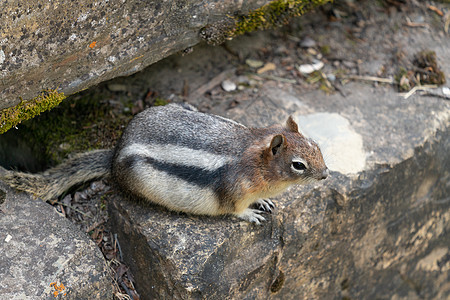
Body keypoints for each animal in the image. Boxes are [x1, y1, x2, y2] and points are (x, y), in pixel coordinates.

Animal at [1, 103, 328, 223]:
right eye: (298, 165)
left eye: (317, 146)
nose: (326, 174)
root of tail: (115, 154)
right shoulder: (233, 190)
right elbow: (234, 210)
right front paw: (250, 214)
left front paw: (264, 202)